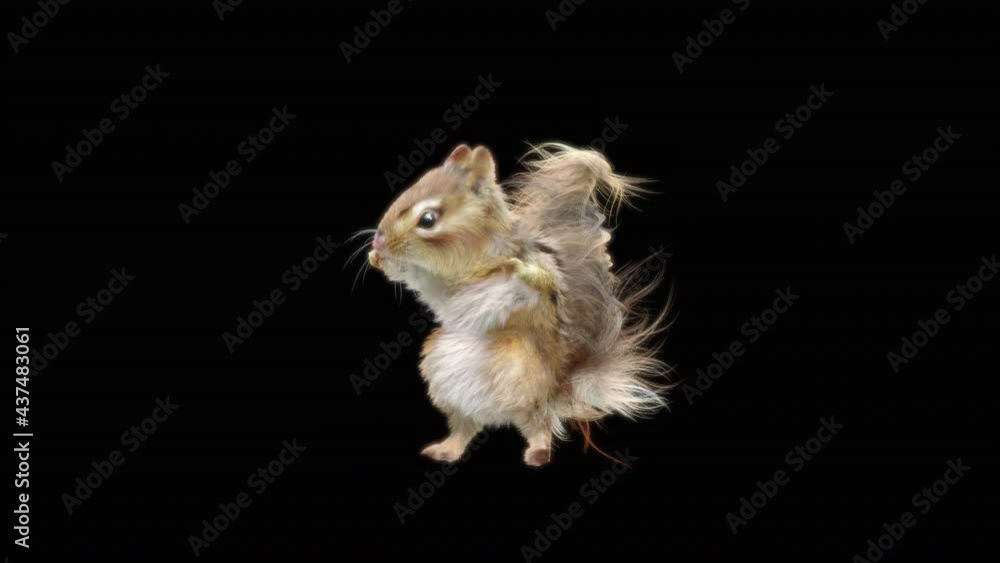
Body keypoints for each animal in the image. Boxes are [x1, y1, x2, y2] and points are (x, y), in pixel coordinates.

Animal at [366, 142, 671, 467]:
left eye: (428, 219)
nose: (378, 242)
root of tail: (557, 387)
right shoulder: (440, 285)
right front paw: (378, 259)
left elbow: (540, 277)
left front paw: (522, 270)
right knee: (466, 426)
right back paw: (447, 448)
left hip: (523, 381)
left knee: (539, 424)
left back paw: (538, 452)